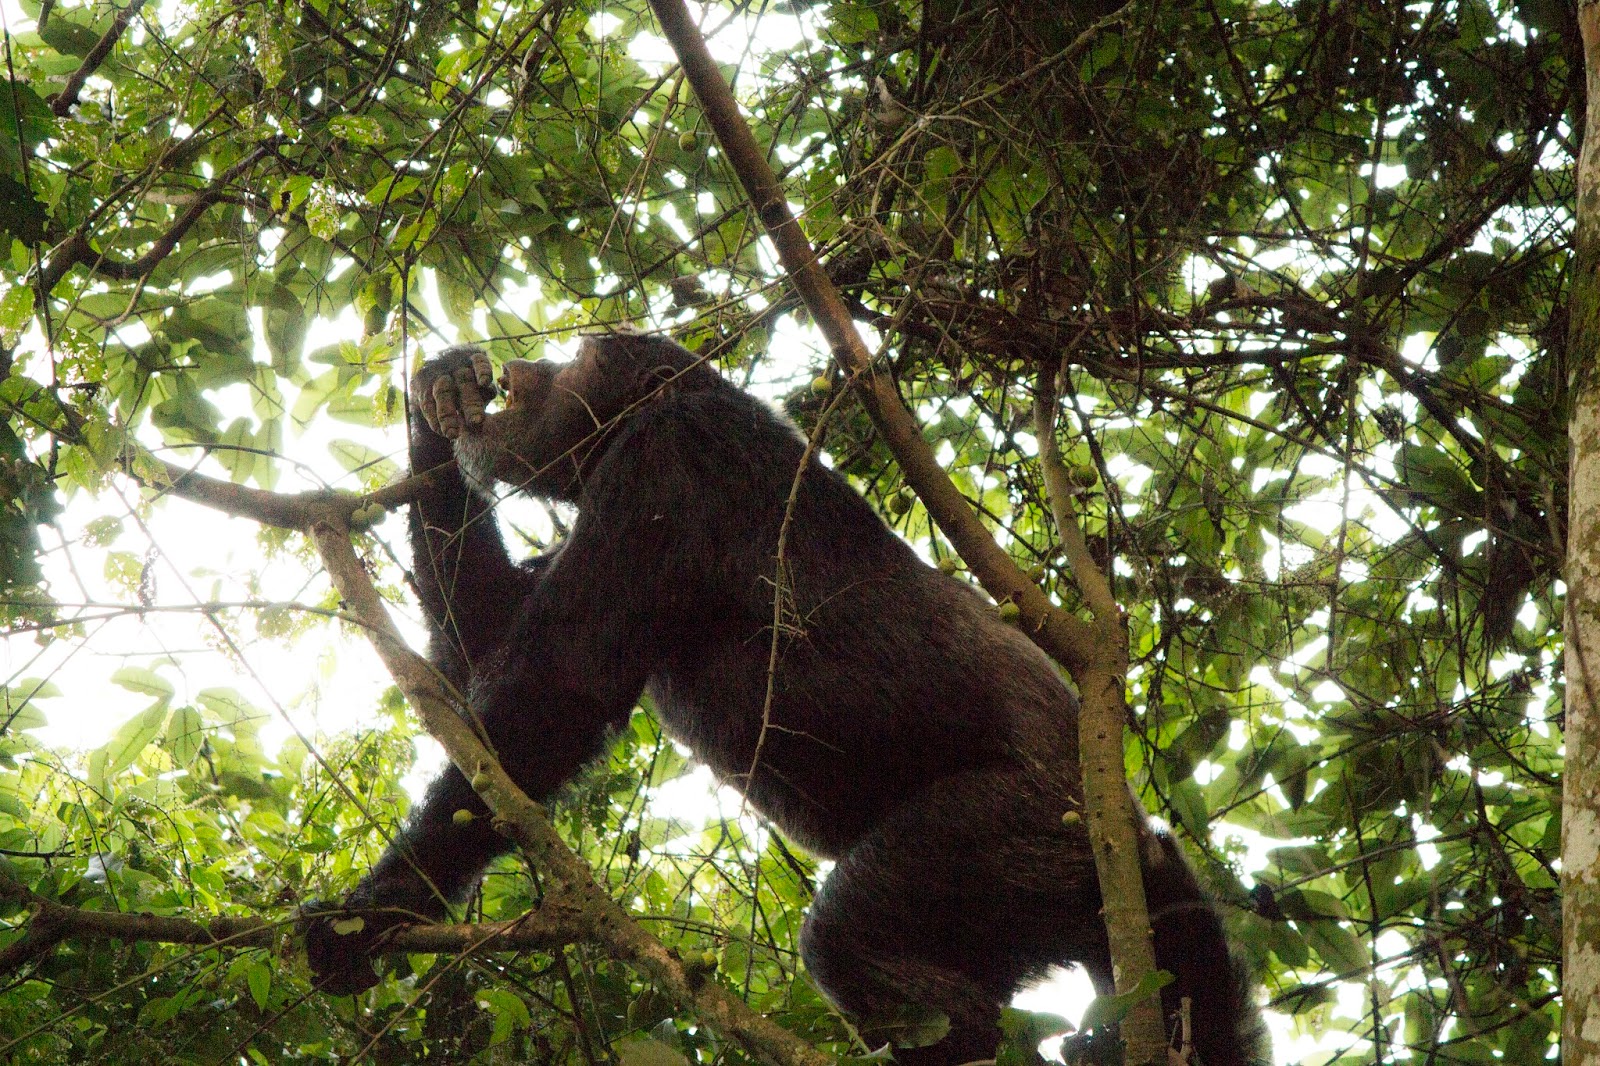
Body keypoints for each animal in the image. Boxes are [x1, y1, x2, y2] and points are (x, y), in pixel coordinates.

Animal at [302, 334, 1267, 1066]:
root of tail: (1129, 824)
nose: (527, 362)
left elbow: (554, 688)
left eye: (578, 357)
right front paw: (435, 396)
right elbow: (479, 655)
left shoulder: (672, 457)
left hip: (1020, 837)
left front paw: (371, 912)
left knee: (848, 935)